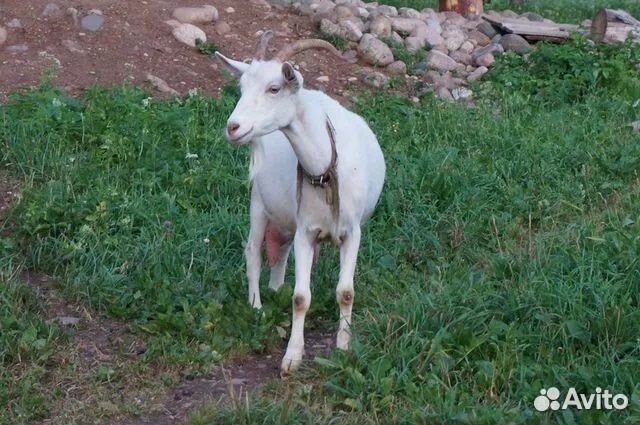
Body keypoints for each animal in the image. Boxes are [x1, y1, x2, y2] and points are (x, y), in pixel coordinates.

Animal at [215, 32, 385, 375]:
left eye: (274, 88)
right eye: (241, 87)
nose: (233, 127)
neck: (325, 169)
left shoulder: (352, 232)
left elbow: (346, 292)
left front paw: (343, 346)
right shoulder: (306, 232)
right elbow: (301, 298)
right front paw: (292, 357)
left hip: (285, 220)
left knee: (278, 253)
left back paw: (274, 289)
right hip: (259, 203)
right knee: (253, 251)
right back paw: (257, 306)